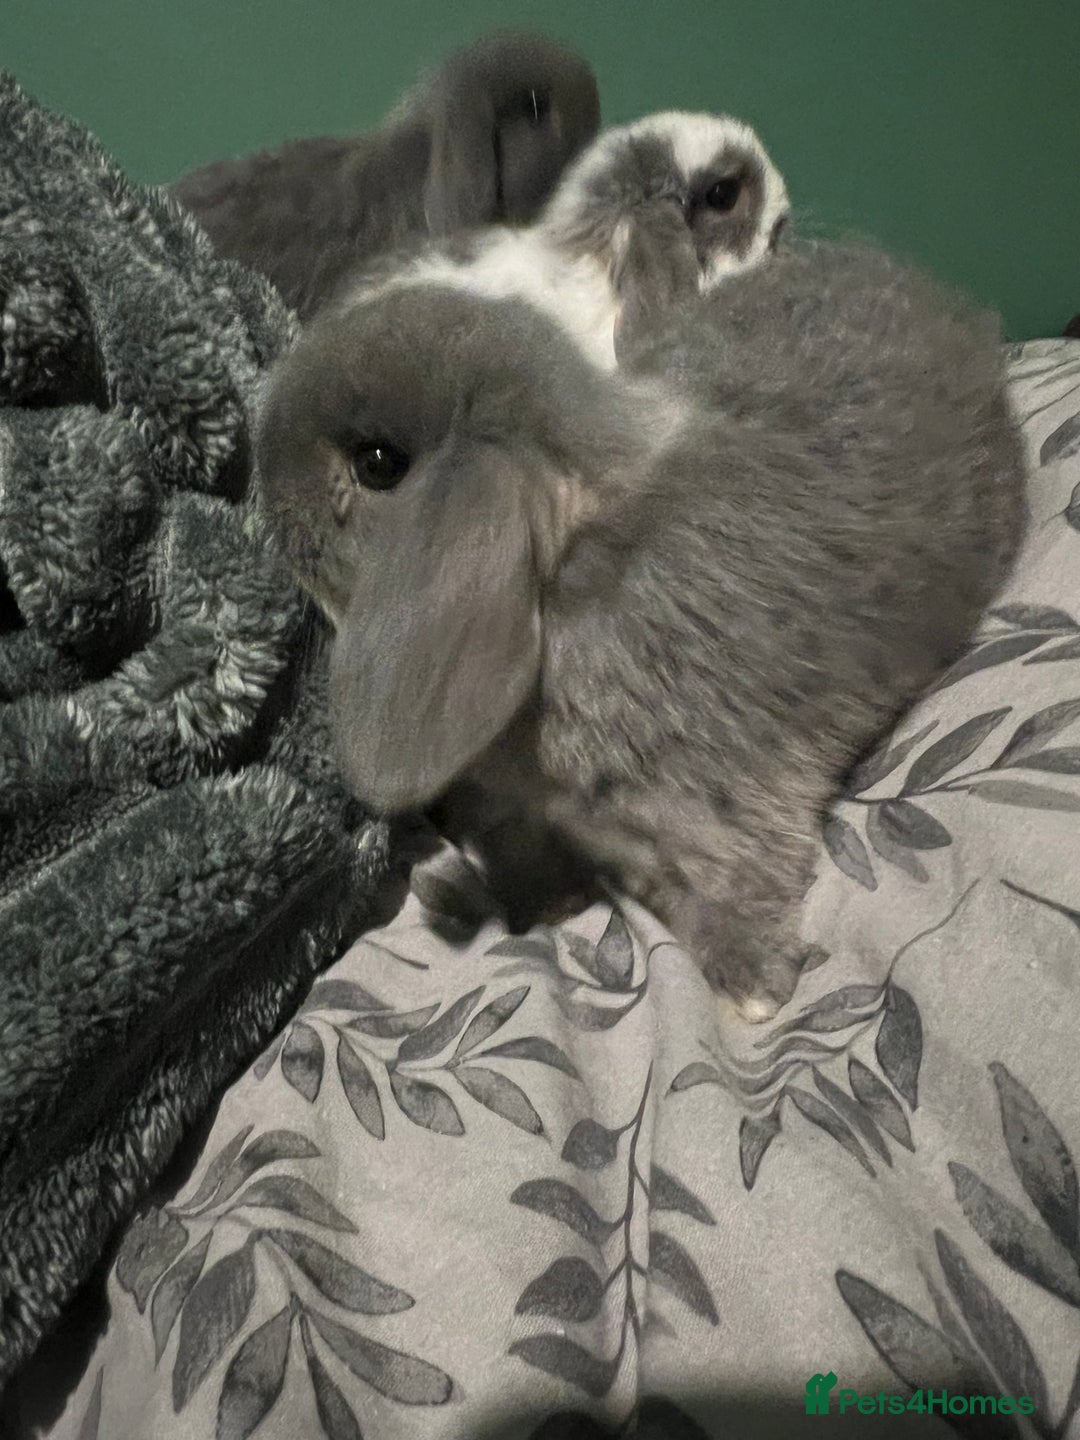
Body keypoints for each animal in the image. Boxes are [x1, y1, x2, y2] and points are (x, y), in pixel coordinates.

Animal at [255, 229, 1025, 1021]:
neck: (576, 574)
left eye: (378, 463)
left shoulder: (718, 802)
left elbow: (738, 876)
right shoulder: (524, 816)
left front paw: (753, 989)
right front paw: (523, 899)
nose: (264, 498)